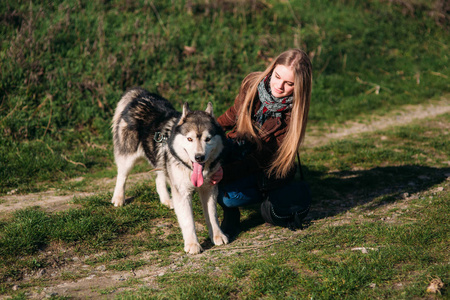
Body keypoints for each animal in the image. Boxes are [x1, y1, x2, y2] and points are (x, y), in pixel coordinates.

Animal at [110, 88, 227, 254]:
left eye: (208, 139)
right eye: (189, 139)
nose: (199, 157)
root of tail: (140, 94)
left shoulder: (209, 189)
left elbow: (212, 215)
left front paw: (217, 235)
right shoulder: (182, 193)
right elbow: (188, 221)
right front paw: (192, 244)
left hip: (160, 159)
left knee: (158, 178)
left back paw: (166, 200)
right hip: (128, 157)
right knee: (122, 175)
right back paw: (119, 198)